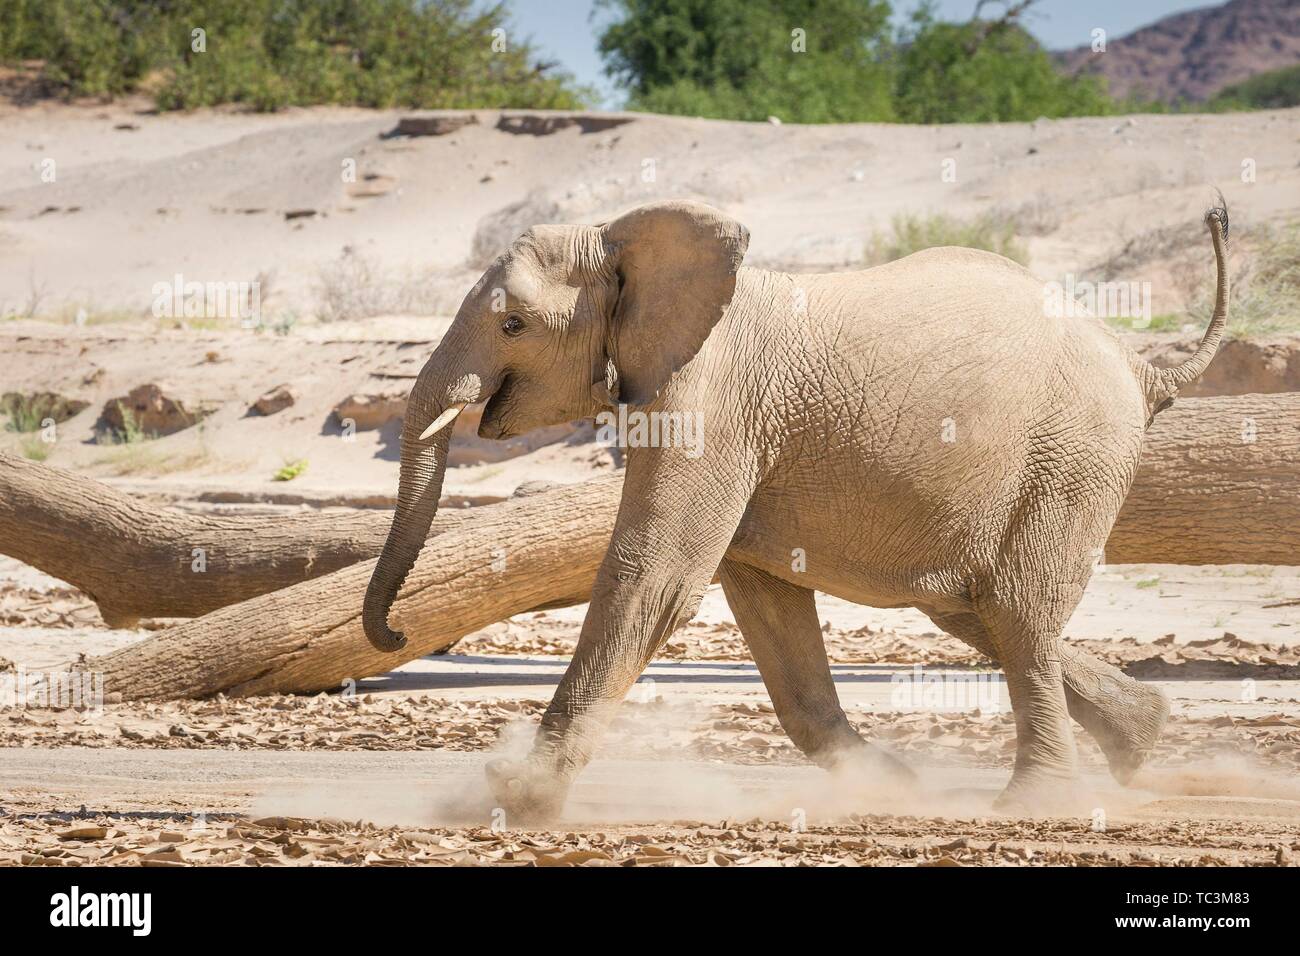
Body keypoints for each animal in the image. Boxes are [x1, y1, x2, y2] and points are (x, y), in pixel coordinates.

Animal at [364, 197, 1227, 816]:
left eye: (513, 324)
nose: (399, 632)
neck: (619, 235)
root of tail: (1140, 363)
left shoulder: (712, 399)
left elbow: (656, 577)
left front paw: (520, 797)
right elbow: (762, 594)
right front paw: (891, 788)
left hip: (1072, 457)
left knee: (1015, 611)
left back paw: (1035, 805)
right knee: (976, 608)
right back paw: (1142, 736)